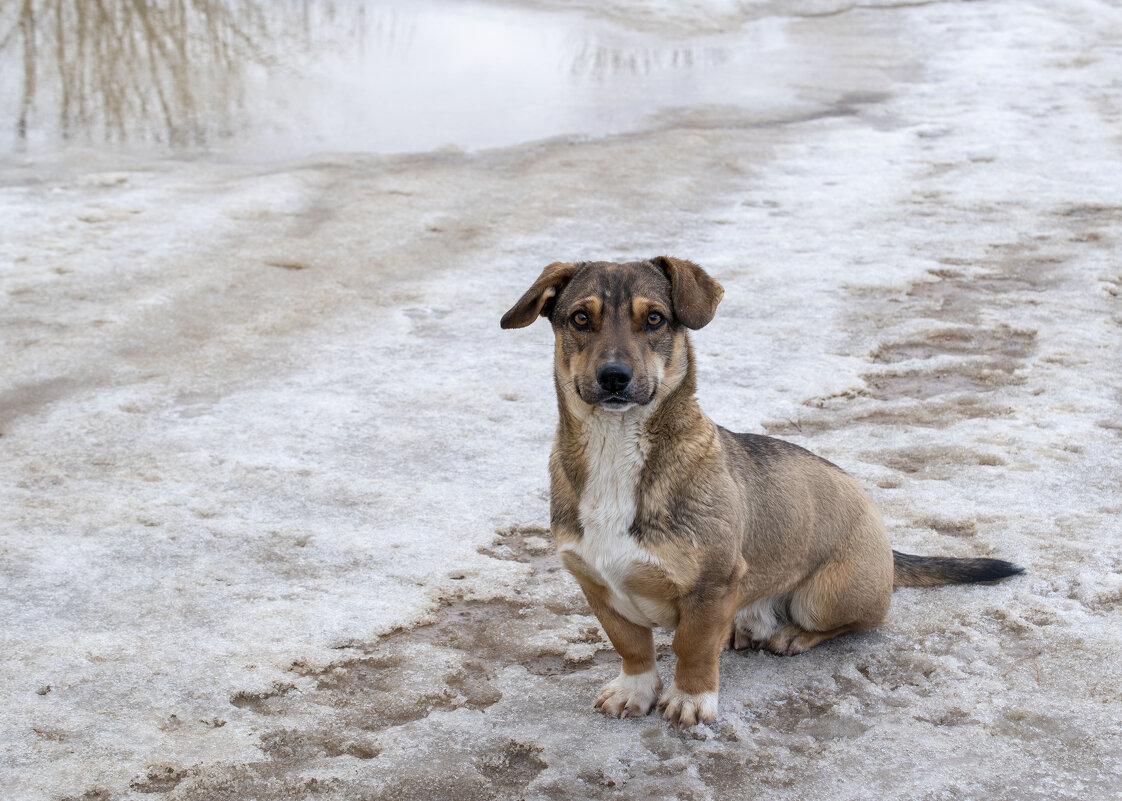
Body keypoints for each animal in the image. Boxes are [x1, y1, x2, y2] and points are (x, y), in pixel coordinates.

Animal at [500, 255, 1027, 722]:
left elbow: (692, 647)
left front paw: (691, 699)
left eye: (654, 318)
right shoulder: (597, 585)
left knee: (860, 622)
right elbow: (632, 647)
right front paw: (637, 689)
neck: (616, 450)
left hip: (825, 599)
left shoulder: (711, 583)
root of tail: (886, 539)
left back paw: (792, 635)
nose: (614, 378)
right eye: (580, 318)